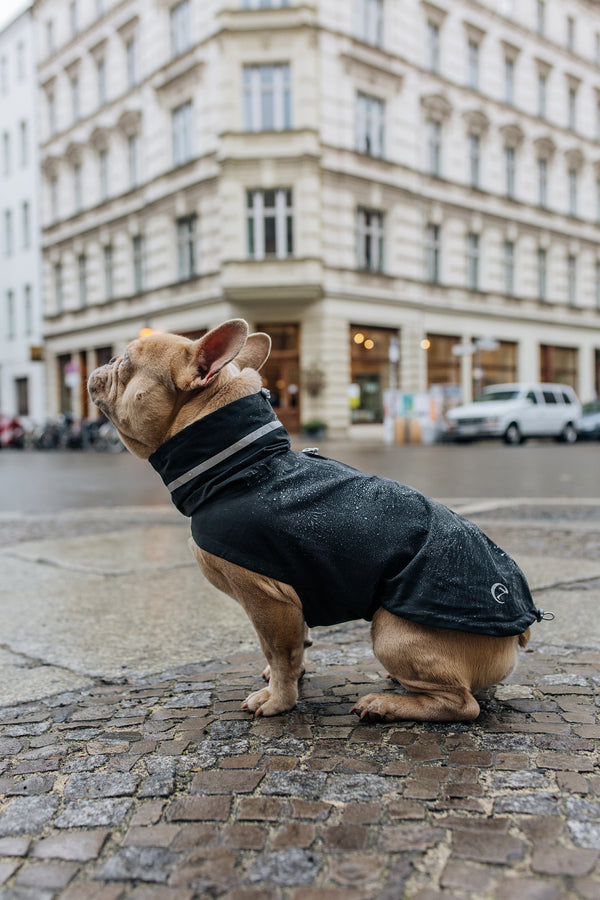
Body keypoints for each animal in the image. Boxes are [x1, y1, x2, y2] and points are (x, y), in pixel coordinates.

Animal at [86, 320, 552, 720]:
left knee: (461, 704)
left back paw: (386, 705)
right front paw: (287, 678)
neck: (244, 464)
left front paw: (278, 700)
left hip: (392, 632)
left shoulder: (266, 599)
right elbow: (297, 645)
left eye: (125, 363)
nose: (103, 363)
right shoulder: (290, 597)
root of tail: (522, 623)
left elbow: (279, 651)